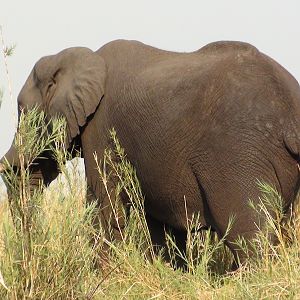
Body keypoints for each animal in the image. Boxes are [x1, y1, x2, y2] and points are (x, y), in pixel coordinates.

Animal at [0, 39, 300, 268]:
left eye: (21, 109)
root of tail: (290, 108)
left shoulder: (101, 130)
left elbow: (105, 207)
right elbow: (159, 223)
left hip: (238, 155)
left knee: (249, 235)